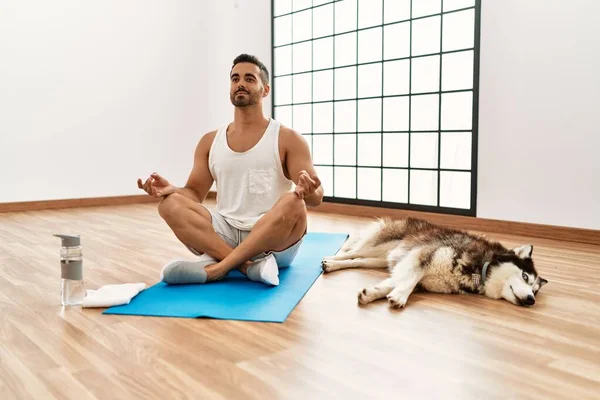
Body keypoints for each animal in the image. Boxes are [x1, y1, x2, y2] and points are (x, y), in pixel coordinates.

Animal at [324, 217, 548, 308]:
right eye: (525, 277)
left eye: (535, 291)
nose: (531, 300)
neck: (480, 268)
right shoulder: (422, 255)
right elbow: (409, 281)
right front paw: (400, 297)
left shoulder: (410, 268)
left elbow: (395, 282)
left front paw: (372, 294)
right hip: (381, 244)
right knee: (353, 251)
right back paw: (330, 260)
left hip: (380, 259)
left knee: (357, 260)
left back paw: (335, 265)